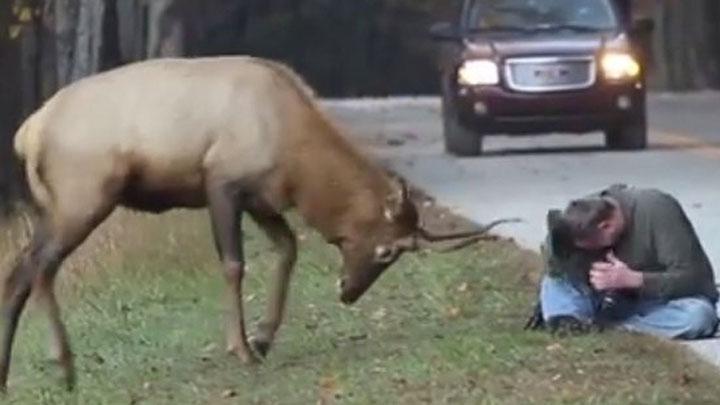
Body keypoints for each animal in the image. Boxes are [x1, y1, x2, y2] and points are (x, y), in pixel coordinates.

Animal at [1, 55, 506, 390]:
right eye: (387, 250)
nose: (348, 292)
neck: (297, 159)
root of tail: (27, 134)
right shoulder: (221, 183)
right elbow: (233, 264)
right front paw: (241, 347)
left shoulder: (261, 199)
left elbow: (288, 248)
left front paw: (262, 338)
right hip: (83, 197)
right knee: (40, 268)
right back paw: (65, 365)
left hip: (57, 208)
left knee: (18, 272)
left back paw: (10, 375)